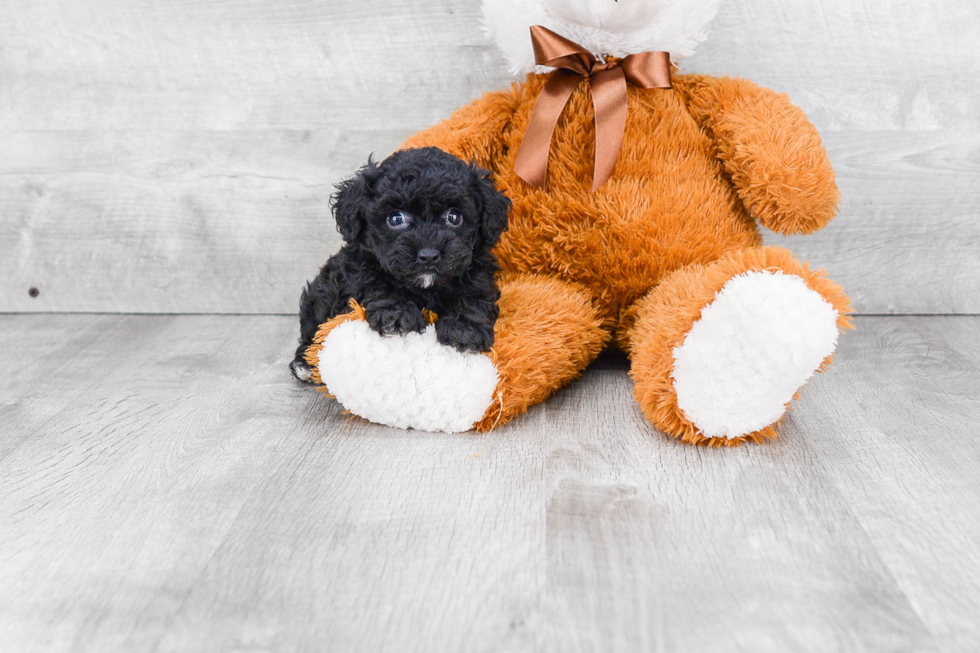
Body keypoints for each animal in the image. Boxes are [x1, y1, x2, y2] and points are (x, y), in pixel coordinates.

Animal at [290, 146, 510, 382]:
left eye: (454, 217)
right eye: (396, 218)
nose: (429, 255)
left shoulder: (477, 271)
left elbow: (473, 295)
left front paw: (465, 329)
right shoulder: (360, 266)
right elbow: (375, 283)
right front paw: (396, 314)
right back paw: (304, 363)